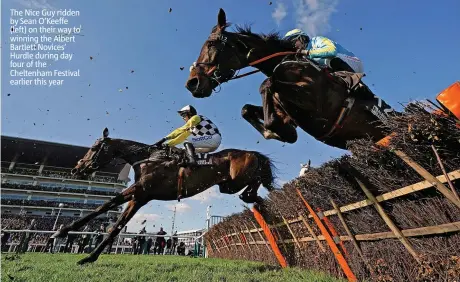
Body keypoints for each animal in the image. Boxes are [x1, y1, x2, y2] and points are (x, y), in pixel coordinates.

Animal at [54, 128, 276, 264]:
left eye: (93, 148)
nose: (76, 169)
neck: (147, 158)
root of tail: (252, 153)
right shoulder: (140, 197)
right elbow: (115, 224)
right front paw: (87, 255)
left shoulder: (139, 190)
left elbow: (107, 207)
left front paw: (64, 233)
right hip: (227, 185)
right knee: (254, 189)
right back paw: (257, 201)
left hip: (234, 182)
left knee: (254, 182)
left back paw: (252, 198)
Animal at [185, 8, 398, 150]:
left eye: (211, 44)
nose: (192, 83)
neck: (285, 64)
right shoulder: (284, 108)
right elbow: (247, 109)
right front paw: (276, 131)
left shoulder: (318, 103)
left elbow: (266, 83)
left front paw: (273, 130)